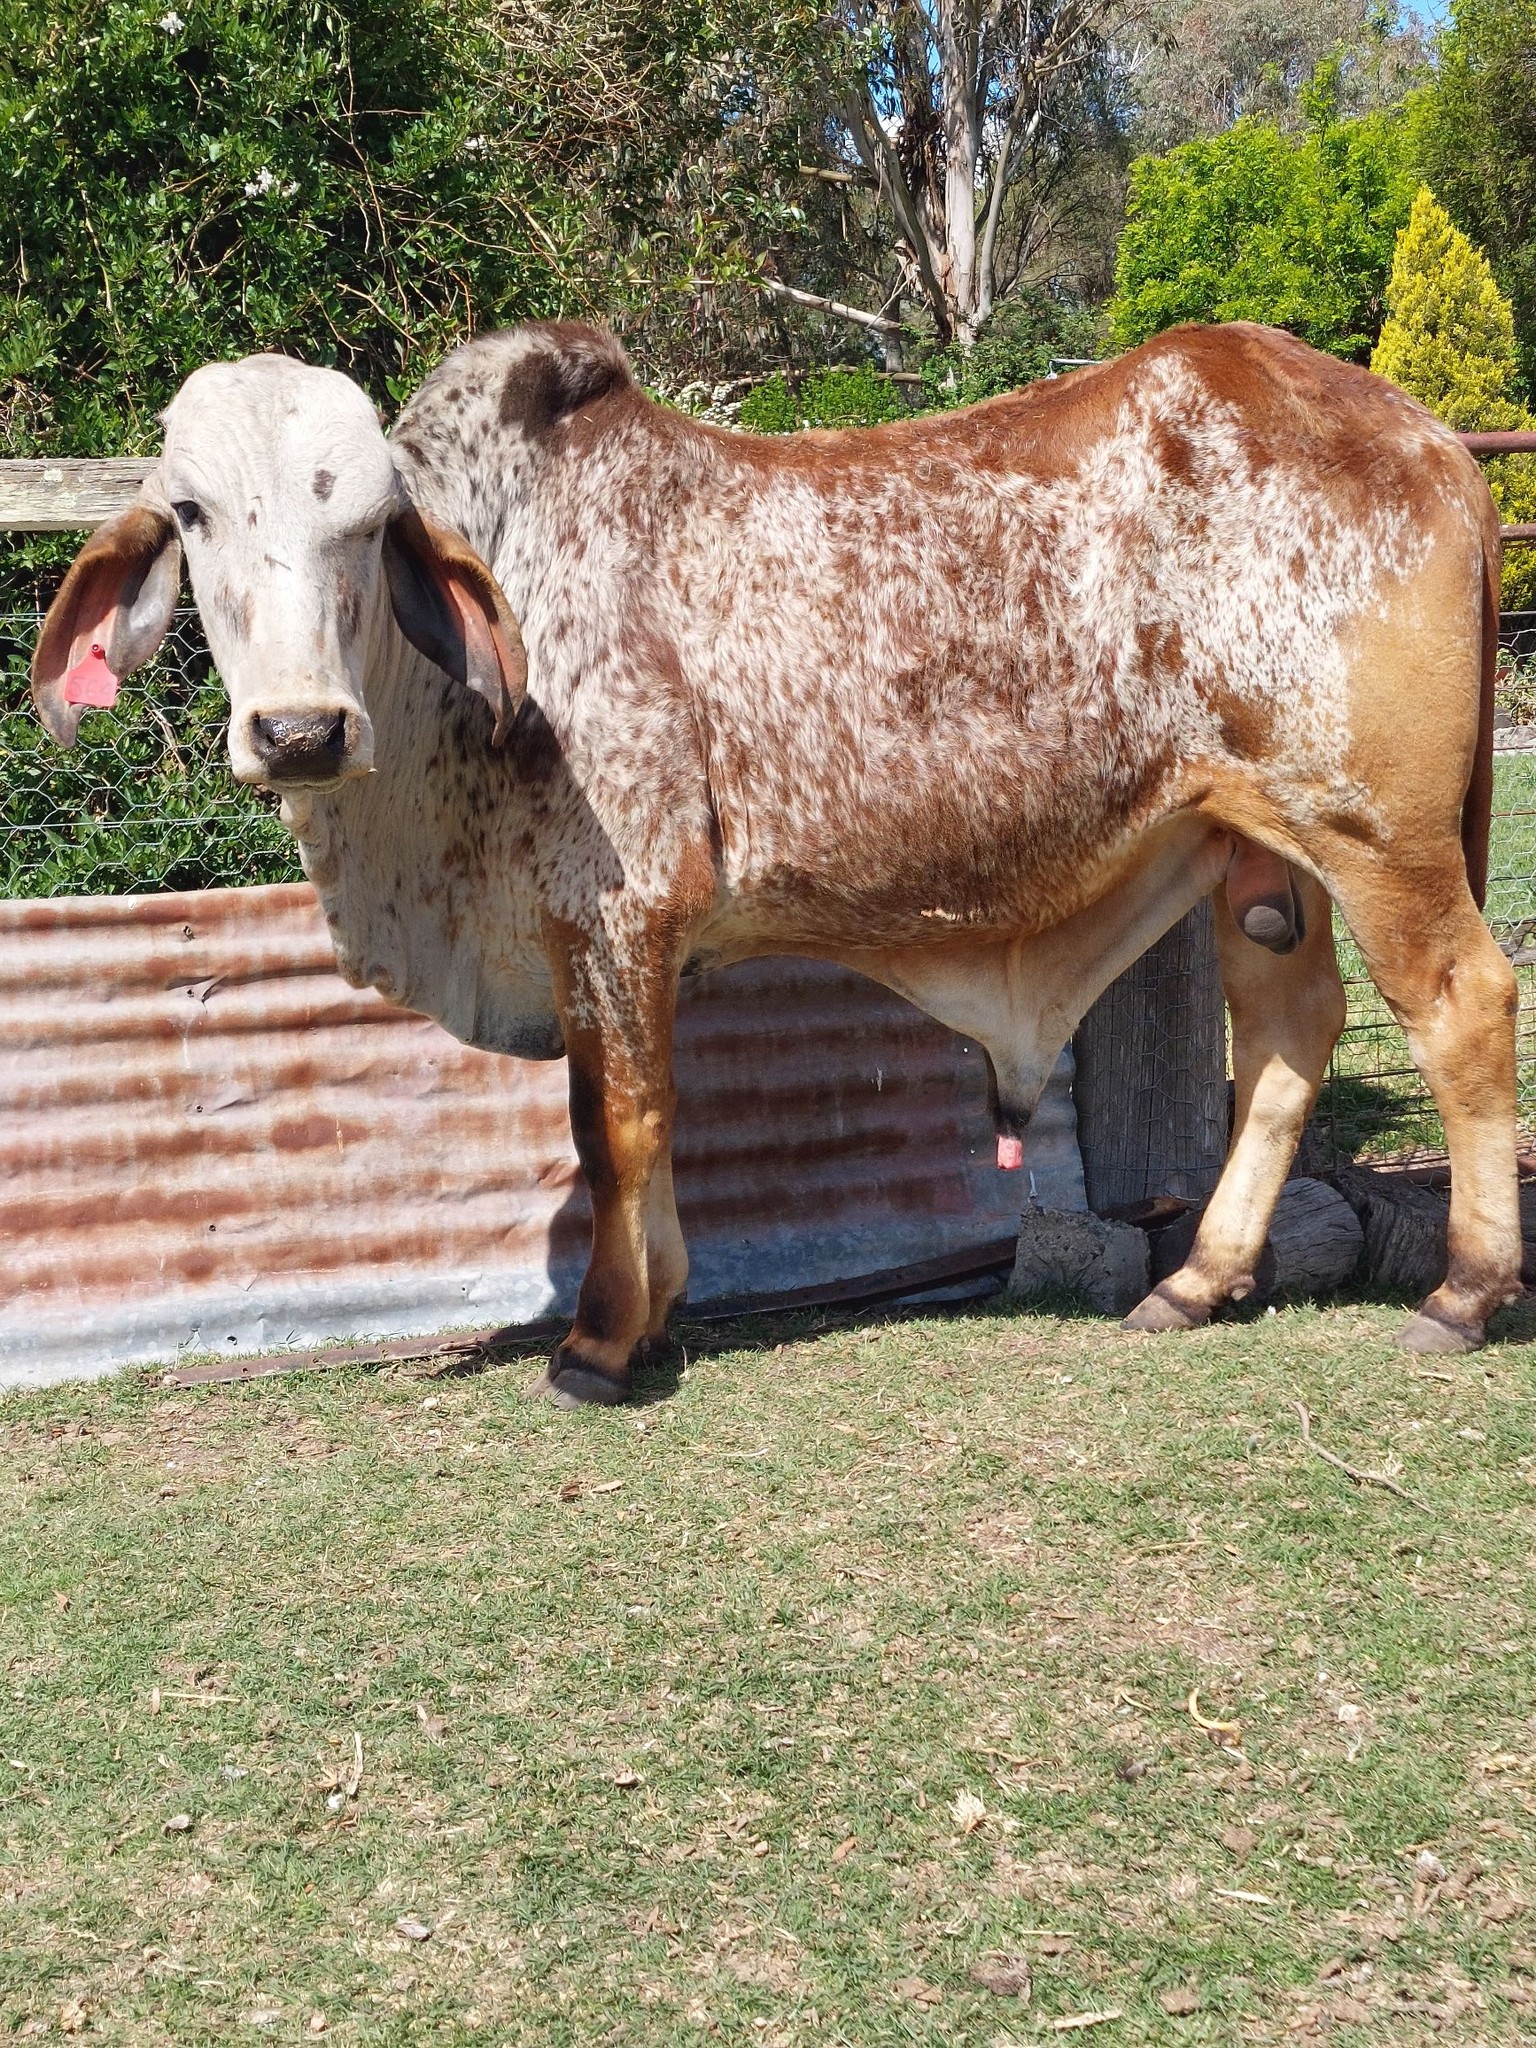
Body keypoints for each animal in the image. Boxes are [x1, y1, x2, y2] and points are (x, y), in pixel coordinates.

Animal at [31, 319, 1520, 1404]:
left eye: (366, 524)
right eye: (192, 511)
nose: (299, 730)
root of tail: (1428, 437)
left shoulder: (619, 911)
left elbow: (618, 1127)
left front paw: (602, 1342)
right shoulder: (602, 943)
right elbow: (637, 1128)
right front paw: (655, 1312)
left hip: (1379, 835)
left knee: (1464, 1008)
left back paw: (1463, 1292)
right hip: (1260, 846)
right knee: (1287, 1030)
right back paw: (1197, 1281)